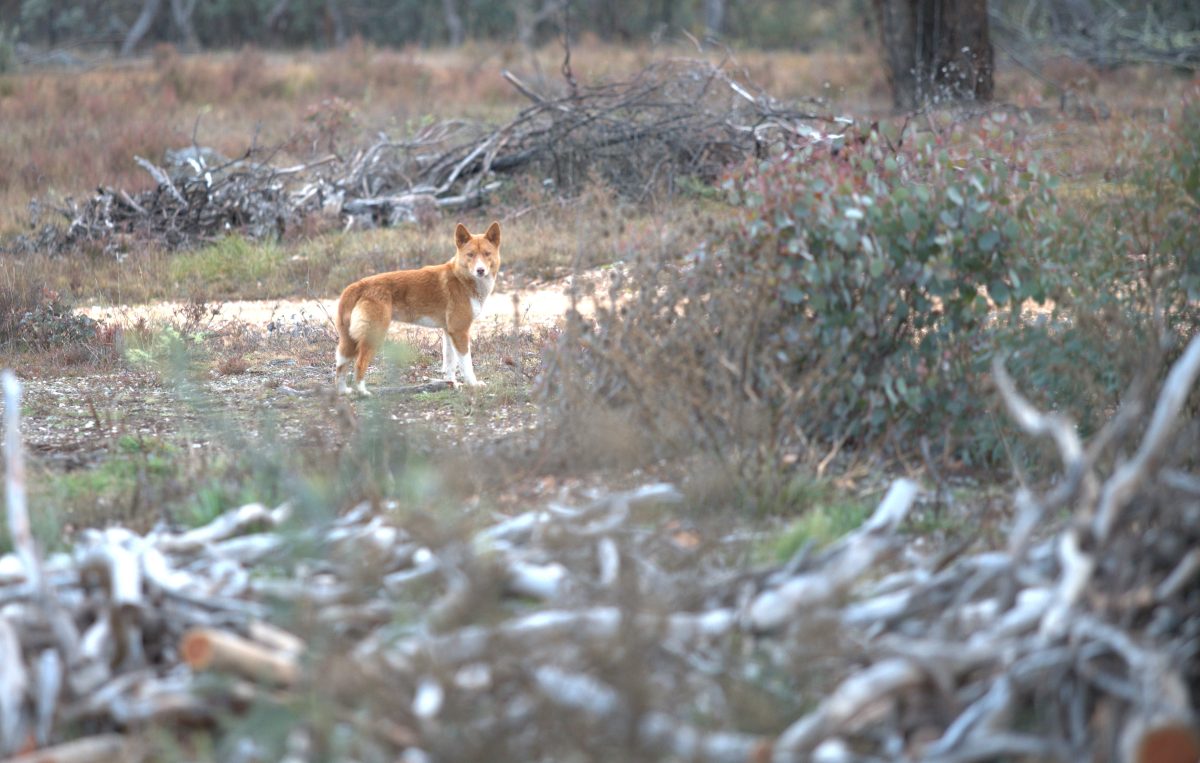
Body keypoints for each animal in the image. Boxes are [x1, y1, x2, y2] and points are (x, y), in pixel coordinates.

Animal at [333, 220, 501, 395]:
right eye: (470, 255)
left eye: (487, 253)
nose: (480, 270)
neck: (462, 279)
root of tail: (359, 285)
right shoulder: (460, 331)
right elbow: (466, 364)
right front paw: (473, 384)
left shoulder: (449, 332)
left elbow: (450, 365)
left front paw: (451, 384)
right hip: (374, 336)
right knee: (359, 365)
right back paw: (363, 393)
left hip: (348, 341)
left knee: (340, 368)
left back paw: (344, 391)